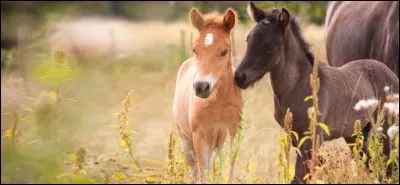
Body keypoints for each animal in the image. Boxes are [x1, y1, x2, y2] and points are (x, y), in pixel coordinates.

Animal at [234, 2, 400, 184]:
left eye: (270, 45)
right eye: (248, 39)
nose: (240, 77)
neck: (297, 86)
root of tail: (391, 75)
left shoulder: (311, 139)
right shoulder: (296, 139)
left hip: (385, 130)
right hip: (357, 134)